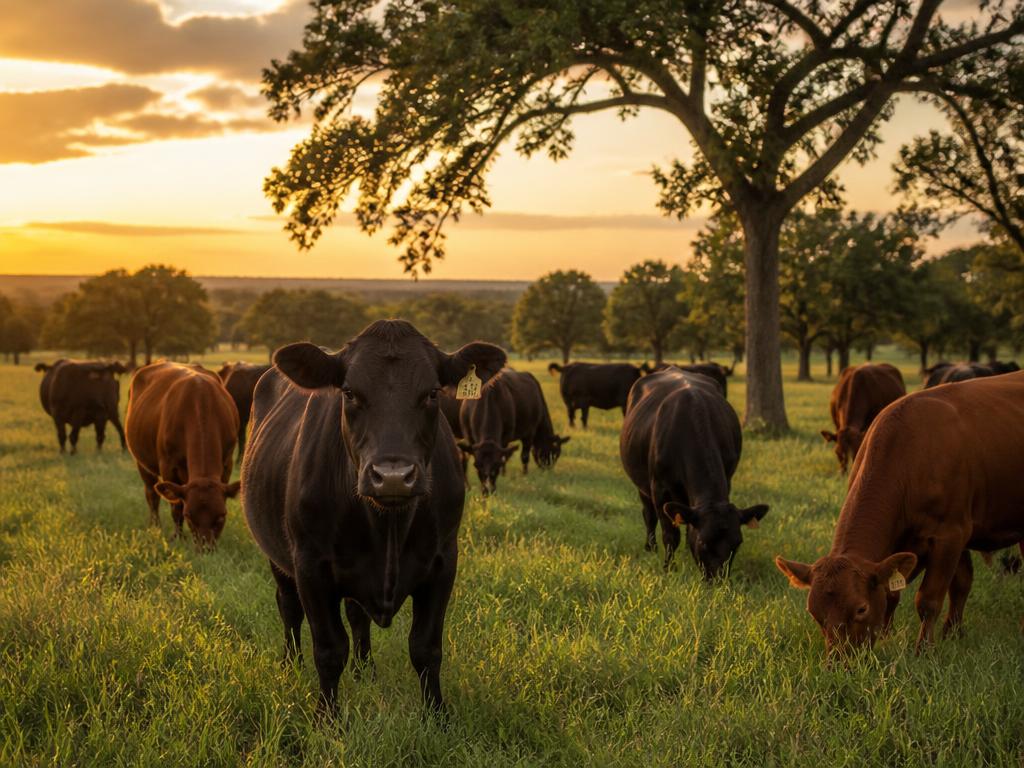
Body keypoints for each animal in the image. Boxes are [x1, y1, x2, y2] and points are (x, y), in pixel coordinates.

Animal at [125, 362, 241, 548]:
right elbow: (176, 506)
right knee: (152, 494)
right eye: (189, 517)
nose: (205, 548)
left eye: (221, 516)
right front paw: (178, 537)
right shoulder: (168, 466)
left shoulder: (227, 462)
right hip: (141, 462)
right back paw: (155, 527)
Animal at [241, 320, 506, 711]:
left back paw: (365, 671)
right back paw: (291, 664)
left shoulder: (444, 561)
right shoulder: (310, 566)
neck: (388, 528)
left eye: (432, 393)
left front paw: (436, 713)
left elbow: (426, 648)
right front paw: (327, 716)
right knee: (288, 607)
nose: (392, 476)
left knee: (357, 615)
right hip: (277, 556)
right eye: (349, 393)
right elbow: (329, 651)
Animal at [619, 366, 769, 579]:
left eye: (737, 544)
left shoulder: (727, 478)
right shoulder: (659, 488)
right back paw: (651, 547)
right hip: (642, 484)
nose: (718, 580)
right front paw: (669, 568)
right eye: (703, 543)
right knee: (648, 514)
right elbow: (670, 534)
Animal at [776, 371, 1024, 655]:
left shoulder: (951, 534)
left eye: (861, 608)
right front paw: (941, 634)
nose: (839, 660)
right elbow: (945, 586)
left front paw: (924, 649)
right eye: (814, 613)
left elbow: (929, 599)